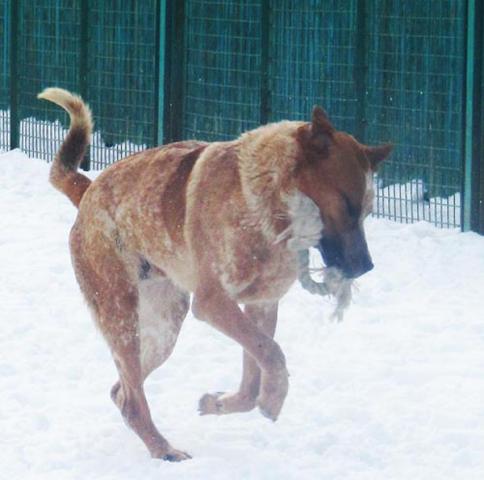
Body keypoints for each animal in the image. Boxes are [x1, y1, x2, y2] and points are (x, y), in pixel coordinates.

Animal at [38, 87, 392, 461]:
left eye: (368, 210)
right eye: (347, 204)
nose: (365, 266)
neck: (264, 202)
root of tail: (88, 191)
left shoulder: (261, 305)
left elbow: (254, 371)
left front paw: (220, 403)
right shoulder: (212, 302)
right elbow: (271, 353)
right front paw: (274, 397)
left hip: (164, 327)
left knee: (121, 391)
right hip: (121, 315)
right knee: (133, 398)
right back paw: (164, 451)